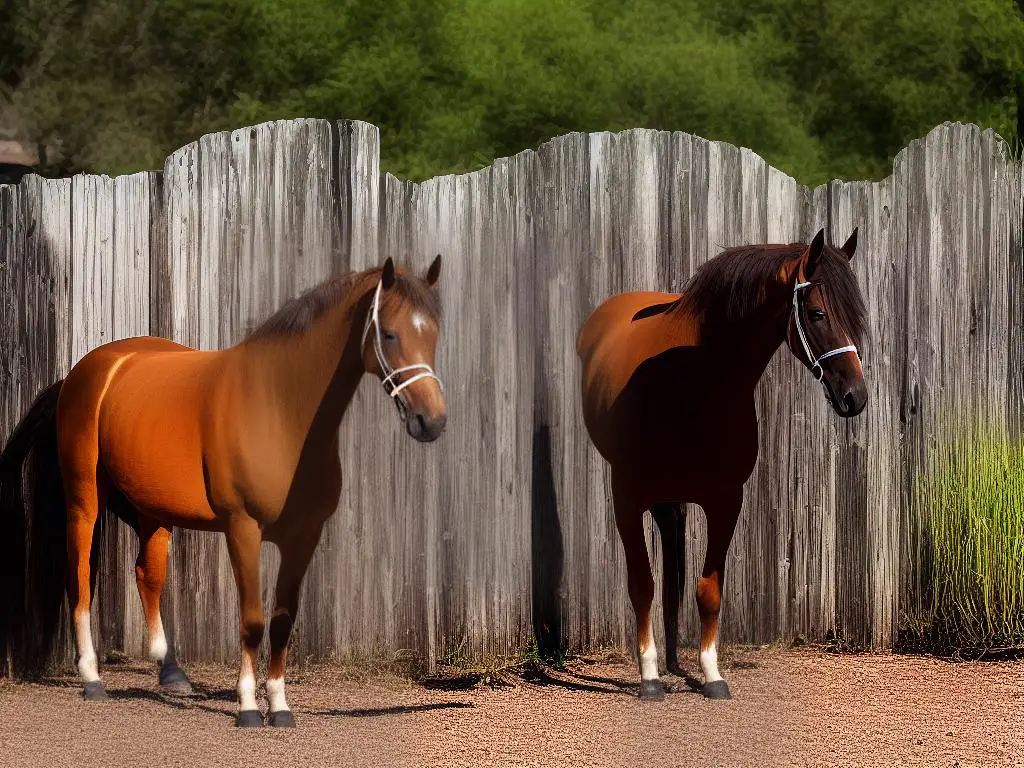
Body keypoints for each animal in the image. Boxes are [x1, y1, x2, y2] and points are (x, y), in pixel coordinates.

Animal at [1, 257, 448, 729]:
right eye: (389, 333)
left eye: (434, 332)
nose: (431, 421)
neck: (277, 409)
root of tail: (87, 370)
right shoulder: (242, 529)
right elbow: (252, 620)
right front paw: (249, 707)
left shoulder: (303, 538)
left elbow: (282, 620)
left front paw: (280, 707)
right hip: (84, 499)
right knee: (80, 576)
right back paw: (92, 678)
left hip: (152, 511)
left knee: (148, 575)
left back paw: (172, 673)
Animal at [577, 225, 864, 700]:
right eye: (818, 313)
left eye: (857, 315)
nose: (855, 397)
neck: (695, 381)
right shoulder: (627, 497)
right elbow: (642, 585)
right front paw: (649, 676)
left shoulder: (726, 500)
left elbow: (708, 589)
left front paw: (711, 673)